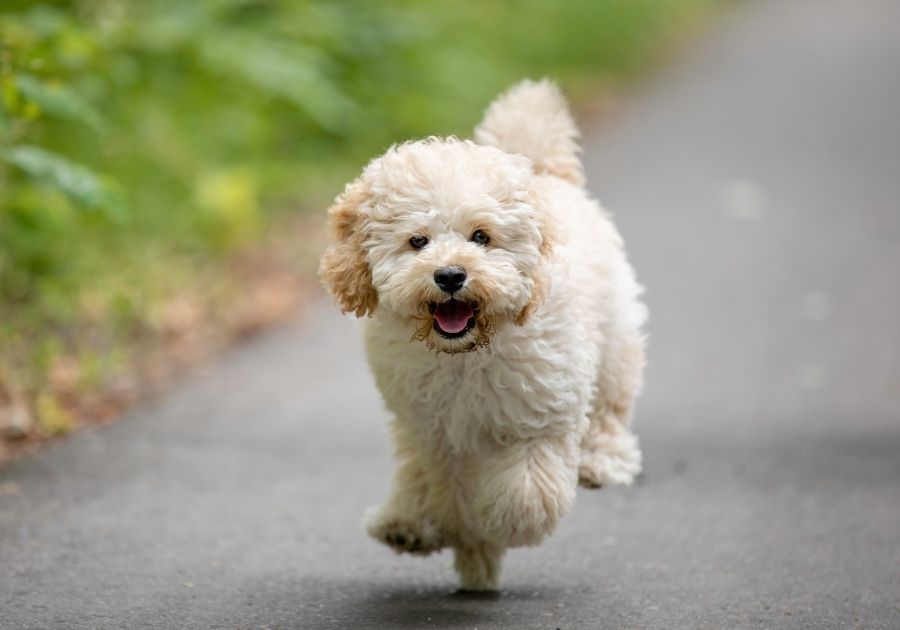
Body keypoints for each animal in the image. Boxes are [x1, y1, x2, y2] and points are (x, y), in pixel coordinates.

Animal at [320, 79, 644, 592]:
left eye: (481, 237)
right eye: (417, 241)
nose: (451, 275)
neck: (467, 353)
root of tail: (542, 172)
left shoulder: (540, 417)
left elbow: (526, 493)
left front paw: (501, 525)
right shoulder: (437, 433)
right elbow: (448, 492)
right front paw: (469, 543)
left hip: (614, 340)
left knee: (611, 407)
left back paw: (601, 461)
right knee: (413, 472)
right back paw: (407, 524)